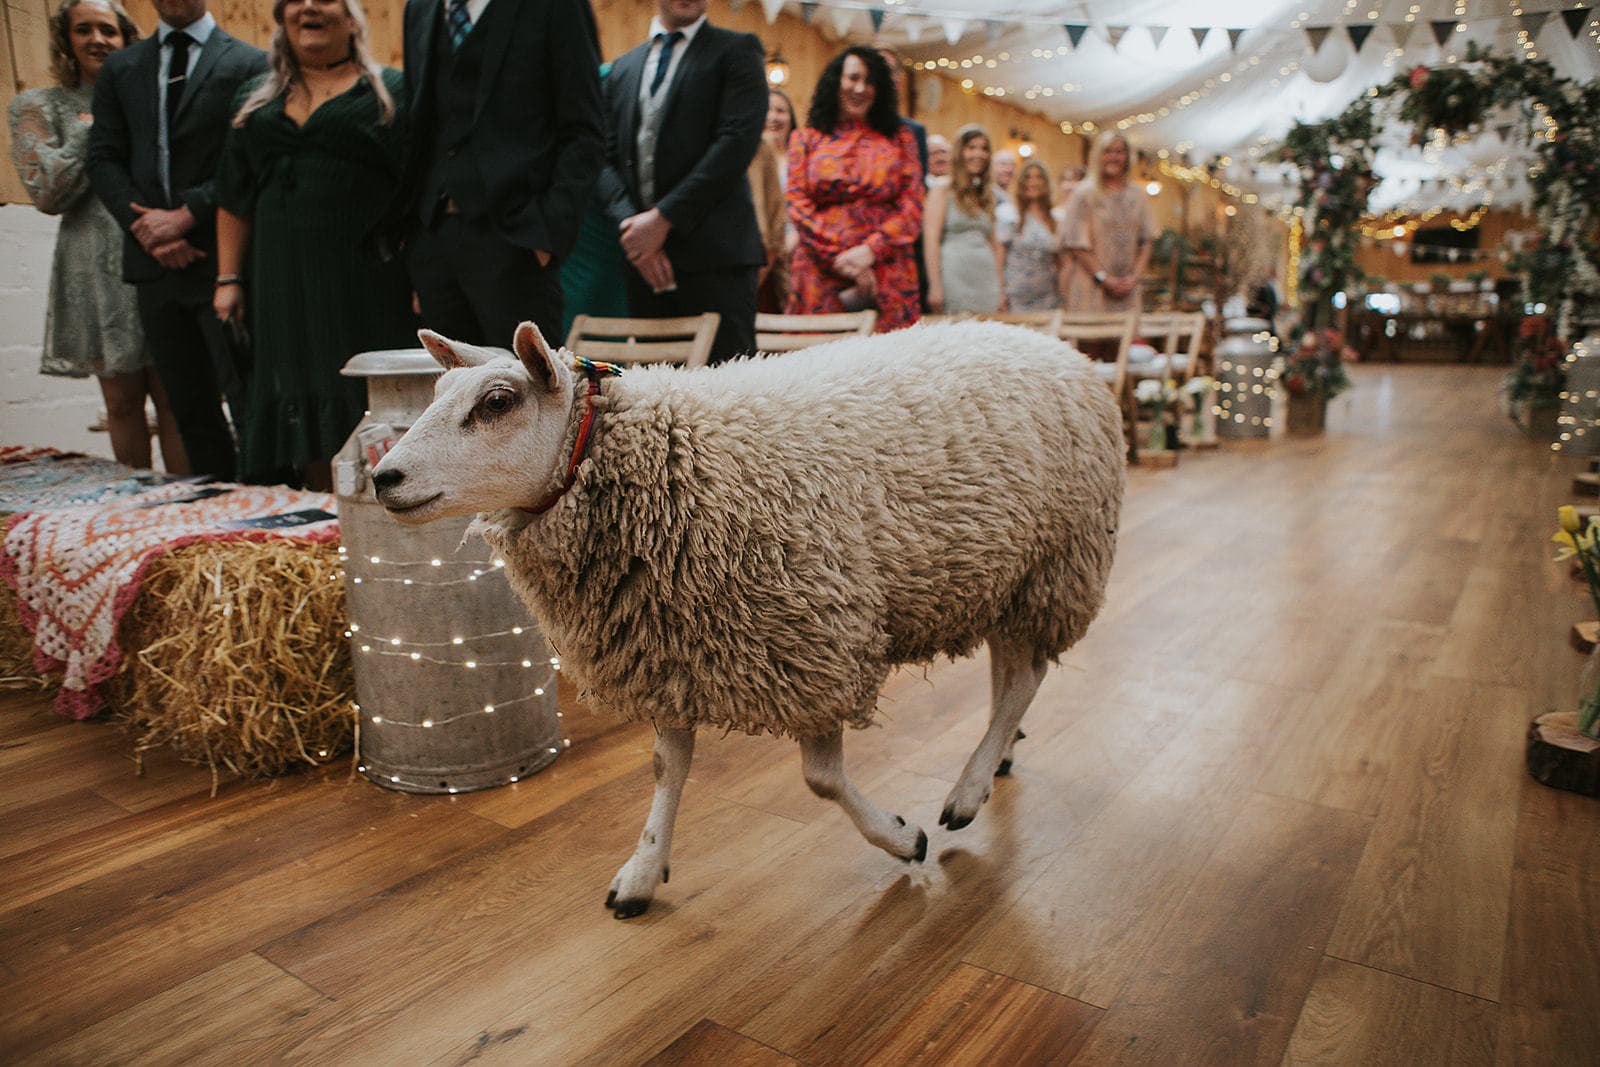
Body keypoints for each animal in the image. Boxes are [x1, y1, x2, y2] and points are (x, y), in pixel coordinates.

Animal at [371, 319, 1125, 918]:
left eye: (497, 402)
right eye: (435, 396)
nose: (383, 478)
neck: (657, 457)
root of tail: (1049, 342)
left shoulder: (817, 640)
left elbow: (821, 779)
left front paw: (901, 837)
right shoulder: (664, 643)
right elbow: (665, 766)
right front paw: (642, 871)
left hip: (1054, 564)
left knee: (1024, 678)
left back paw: (967, 790)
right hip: (1007, 575)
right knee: (1010, 673)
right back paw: (998, 757)